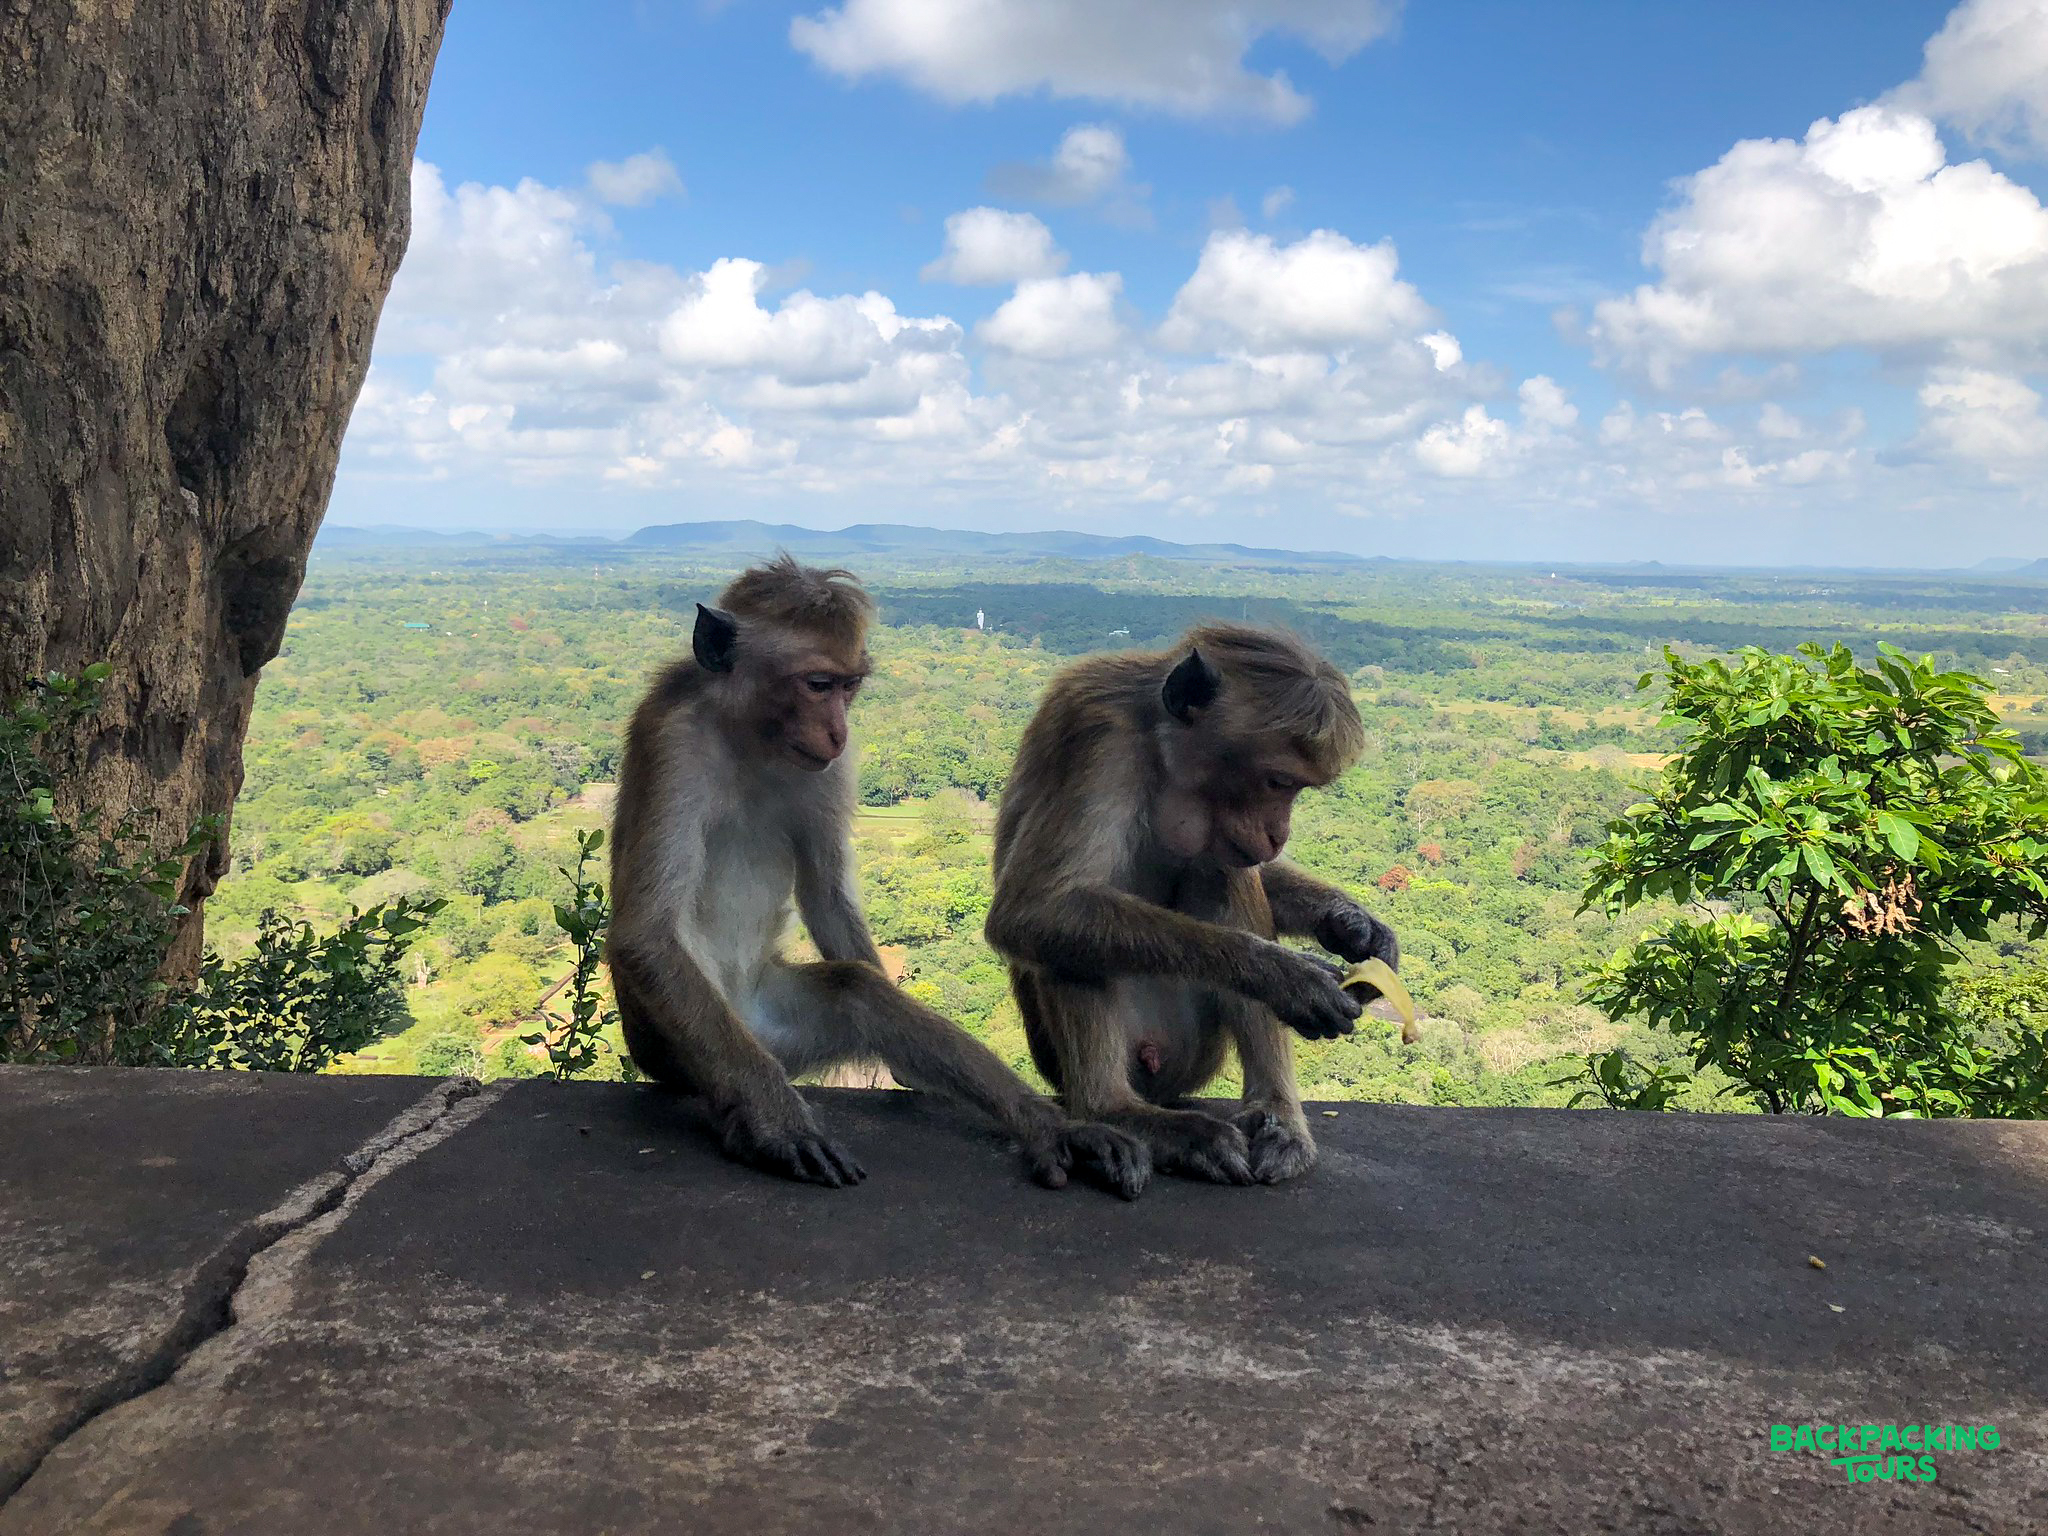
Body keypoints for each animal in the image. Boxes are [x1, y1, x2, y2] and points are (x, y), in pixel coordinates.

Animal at [608, 555, 1150, 1198]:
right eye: (818, 685)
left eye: (849, 688)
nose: (839, 730)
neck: (751, 738)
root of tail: (749, 1026)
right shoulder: (673, 744)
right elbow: (646, 932)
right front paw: (780, 1125)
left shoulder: (829, 767)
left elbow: (825, 893)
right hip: (681, 1034)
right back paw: (749, 1117)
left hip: (774, 1024)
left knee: (859, 993)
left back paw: (1050, 1127)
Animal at [985, 623, 1400, 1185]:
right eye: (1278, 781)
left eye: (1295, 787)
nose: (1279, 834)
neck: (1166, 755)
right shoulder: (1099, 738)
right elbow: (1036, 908)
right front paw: (1282, 975)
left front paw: (1351, 924)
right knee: (1069, 929)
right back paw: (1118, 1112)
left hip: (1199, 1045)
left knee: (1218, 867)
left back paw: (1277, 1116)